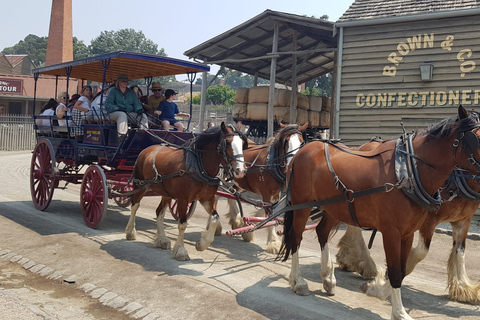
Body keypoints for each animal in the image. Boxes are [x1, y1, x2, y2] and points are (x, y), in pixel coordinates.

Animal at [125, 122, 248, 260]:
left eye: (243, 143)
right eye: (227, 143)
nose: (241, 170)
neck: (199, 165)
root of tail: (146, 150)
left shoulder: (207, 199)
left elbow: (215, 218)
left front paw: (202, 244)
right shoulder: (183, 199)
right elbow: (182, 224)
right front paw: (181, 251)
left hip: (166, 193)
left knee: (159, 212)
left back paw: (162, 239)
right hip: (140, 185)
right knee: (135, 205)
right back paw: (130, 232)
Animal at [220, 122, 308, 252]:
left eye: (301, 142)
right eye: (286, 141)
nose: (291, 163)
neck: (271, 163)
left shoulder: (276, 194)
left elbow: (268, 212)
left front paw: (248, 229)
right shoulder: (266, 193)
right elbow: (269, 216)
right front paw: (273, 242)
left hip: (240, 181)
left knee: (233, 193)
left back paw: (236, 220)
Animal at [280, 106, 480, 318]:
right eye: (476, 139)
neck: (407, 172)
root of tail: (303, 150)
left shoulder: (409, 233)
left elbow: (403, 269)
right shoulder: (392, 232)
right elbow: (395, 271)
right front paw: (398, 310)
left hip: (334, 208)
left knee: (321, 232)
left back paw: (328, 278)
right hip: (302, 205)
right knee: (296, 238)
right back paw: (299, 281)